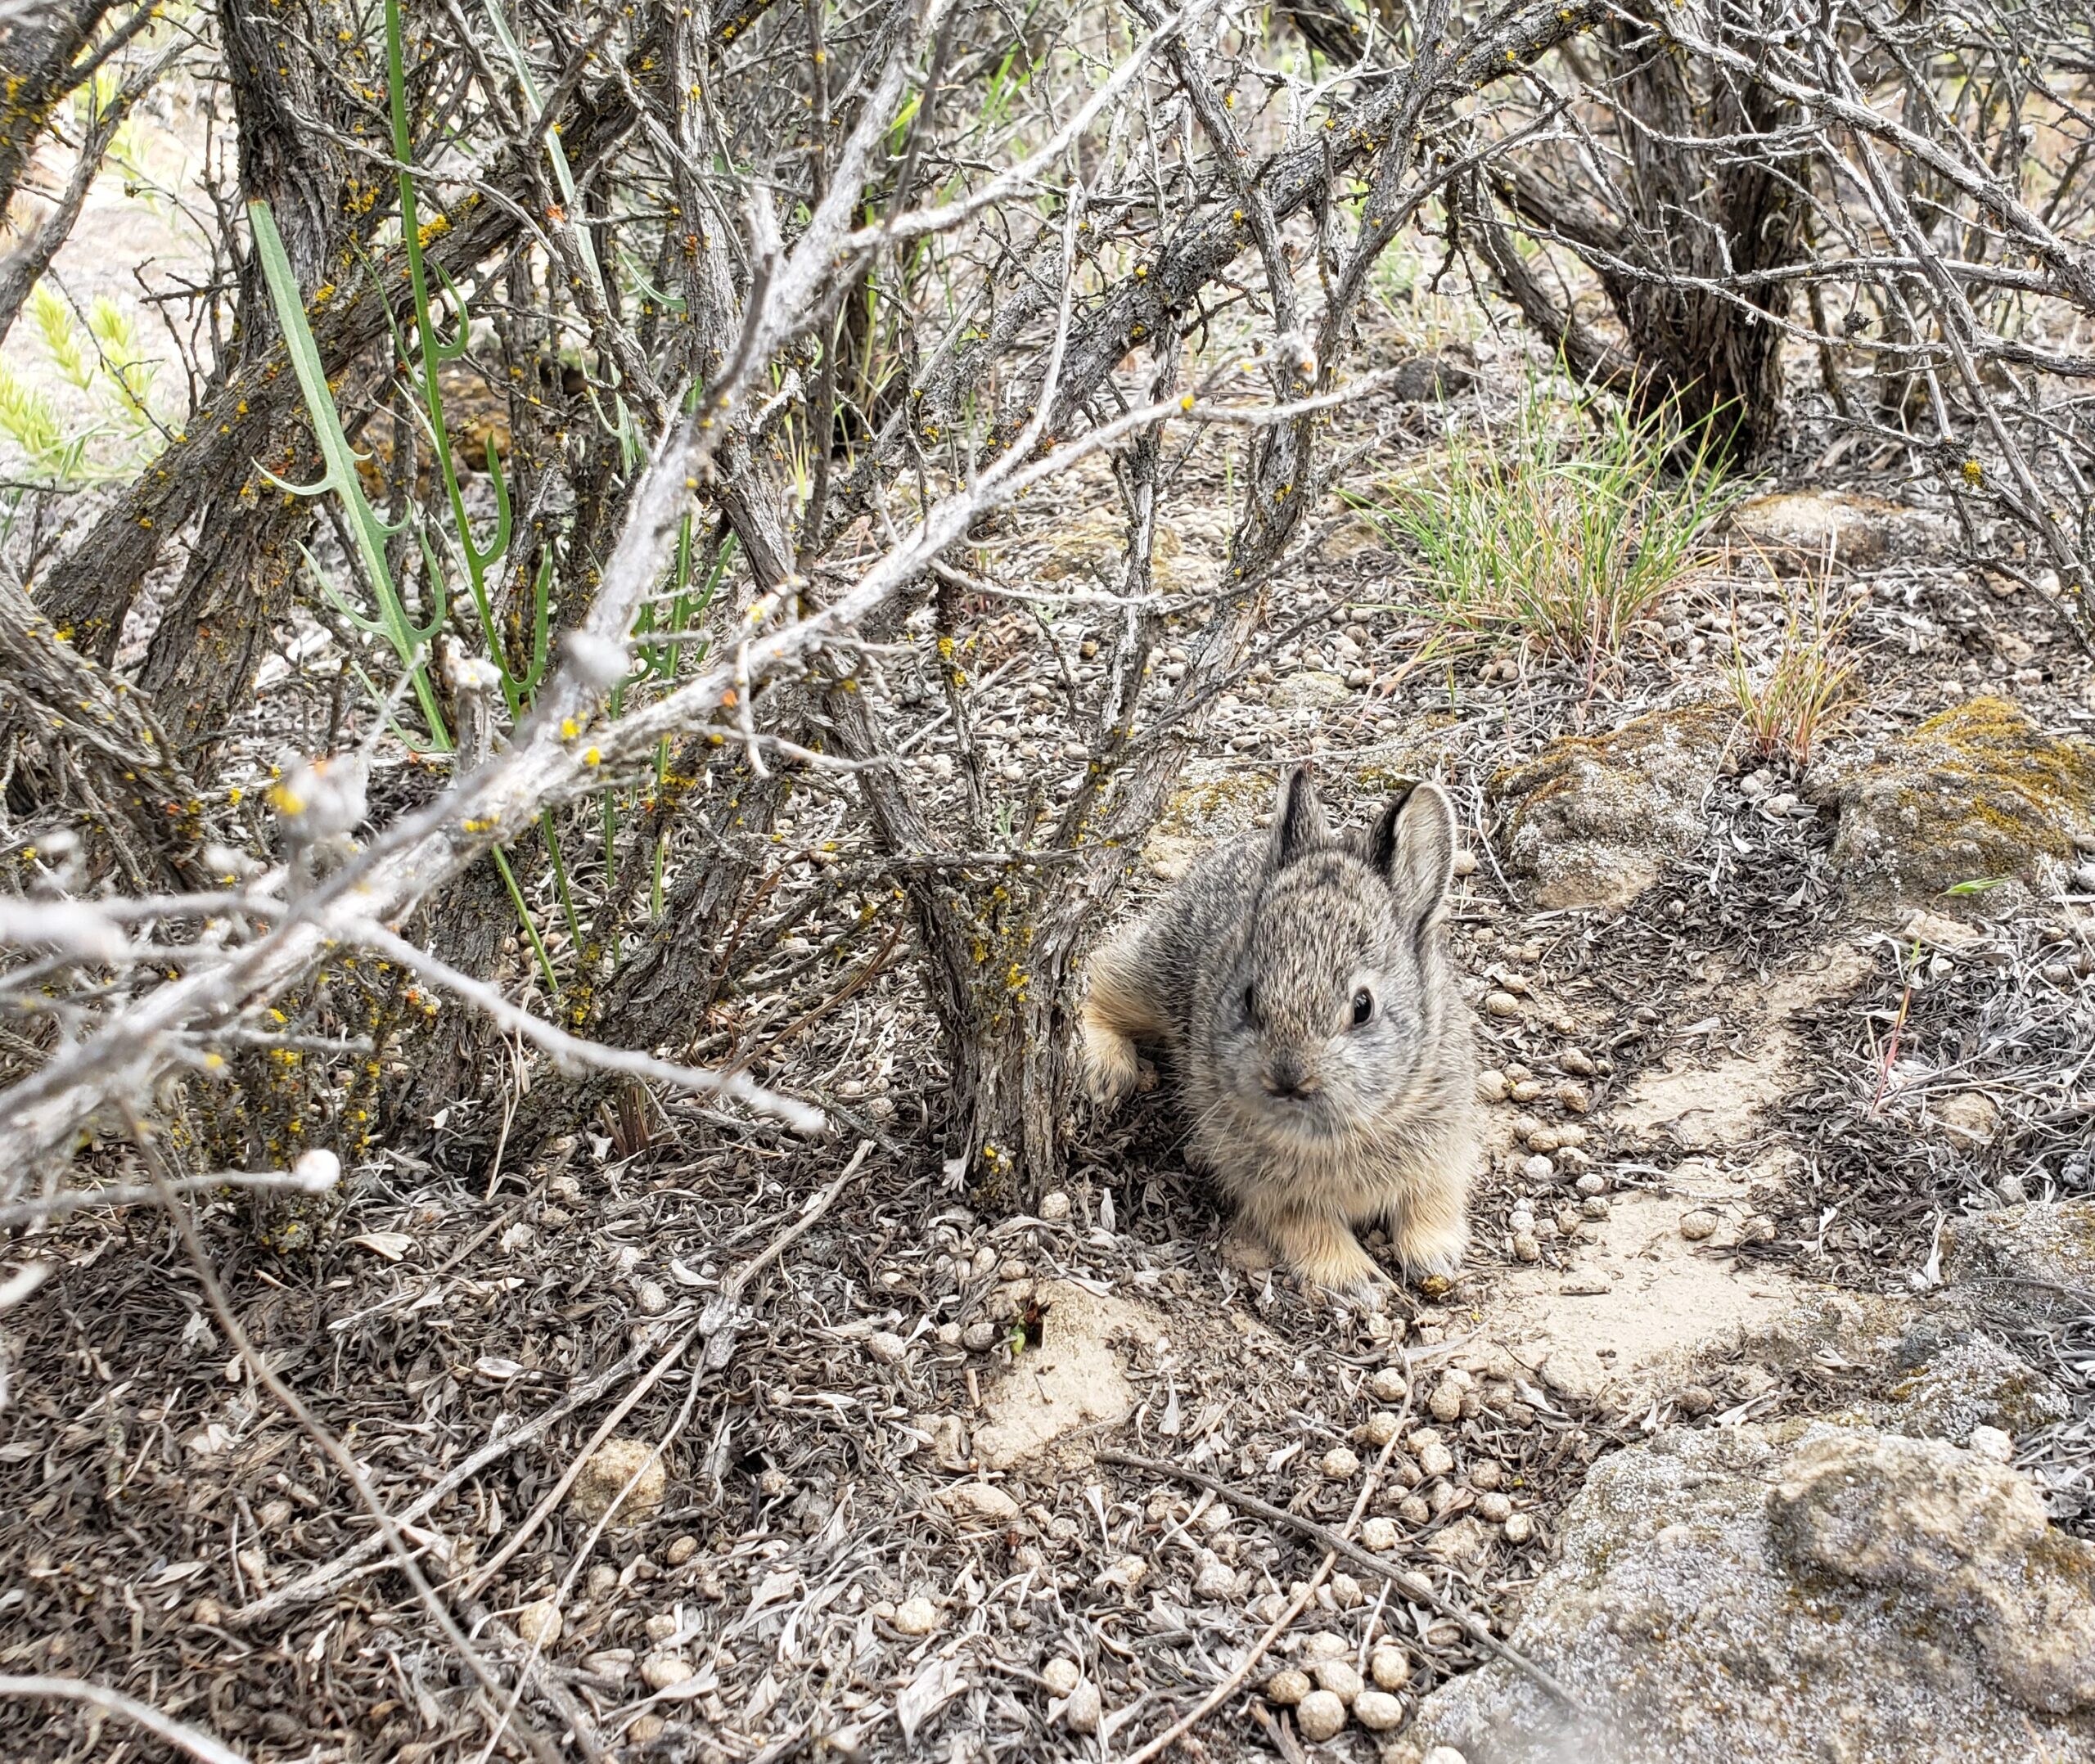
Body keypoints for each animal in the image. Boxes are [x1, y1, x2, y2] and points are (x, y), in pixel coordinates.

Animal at [1080, 763, 1475, 1282]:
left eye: (1363, 1006)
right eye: (1249, 996)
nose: (1288, 1076)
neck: (1340, 1129)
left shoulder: (1445, 1148)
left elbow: (1433, 1201)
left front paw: (1434, 1256)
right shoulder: (1269, 1190)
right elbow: (1307, 1225)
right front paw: (1354, 1278)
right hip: (1157, 973)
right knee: (1099, 978)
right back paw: (1106, 1069)